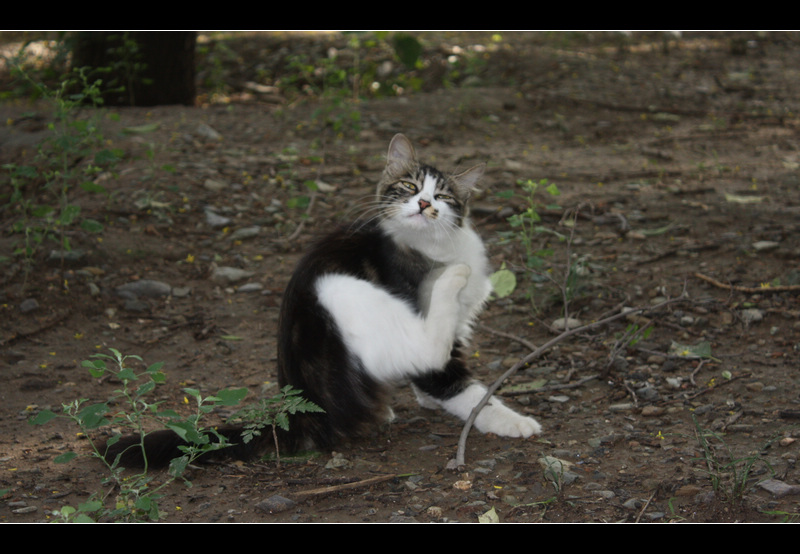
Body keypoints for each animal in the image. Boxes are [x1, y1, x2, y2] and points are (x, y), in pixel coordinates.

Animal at [100, 134, 536, 466]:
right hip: (339, 289)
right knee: (426, 345)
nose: (425, 205)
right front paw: (509, 421)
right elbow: (464, 389)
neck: (436, 246)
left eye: (442, 196)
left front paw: (427, 399)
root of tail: (298, 414)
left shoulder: (461, 324)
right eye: (410, 188)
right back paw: (454, 278)